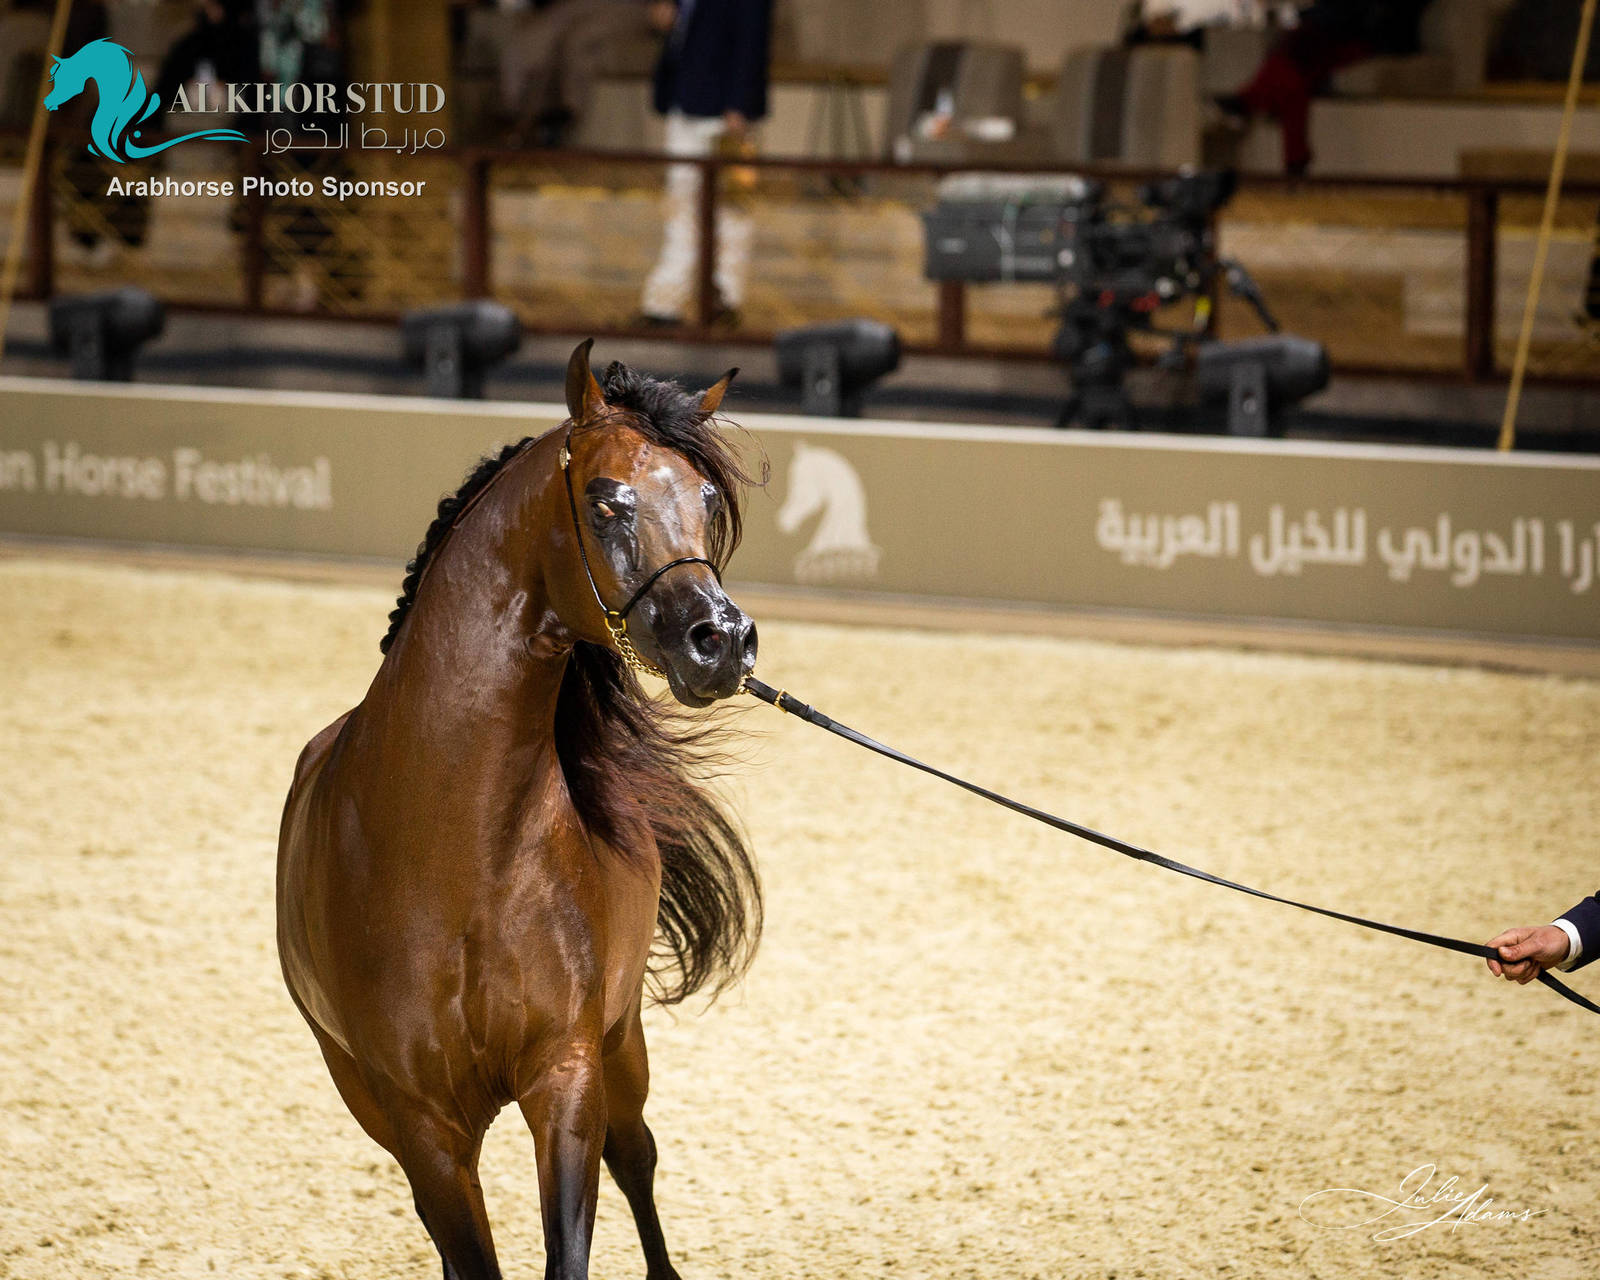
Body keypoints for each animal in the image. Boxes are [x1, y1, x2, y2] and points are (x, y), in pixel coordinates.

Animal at [276, 341, 763, 1280]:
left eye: (708, 498)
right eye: (606, 500)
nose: (720, 640)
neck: (452, 851)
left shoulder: (565, 1075)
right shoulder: (423, 1127)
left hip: (622, 1040)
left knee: (635, 1154)